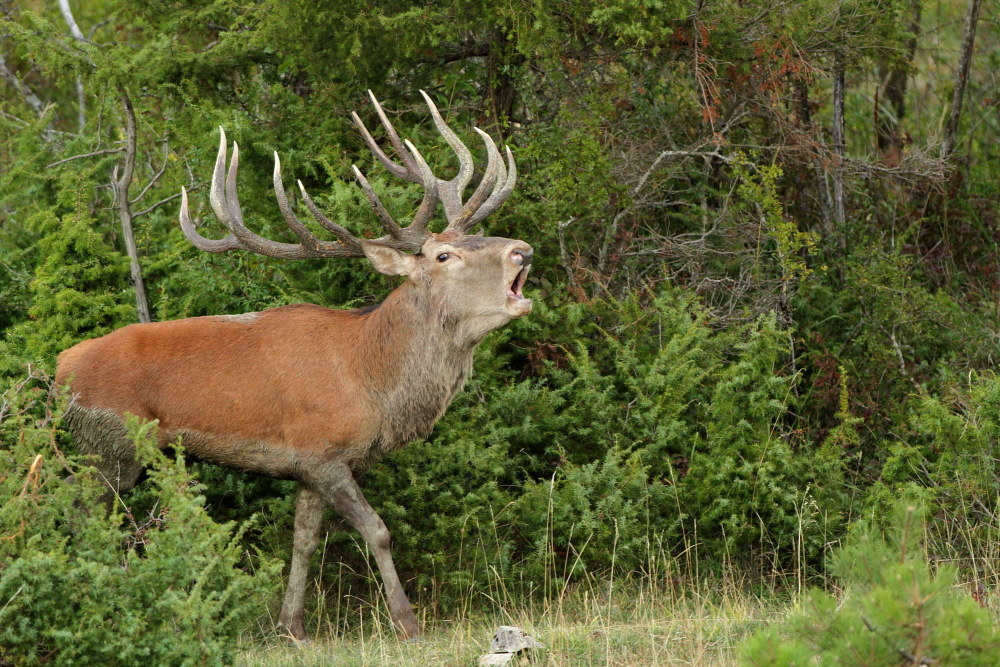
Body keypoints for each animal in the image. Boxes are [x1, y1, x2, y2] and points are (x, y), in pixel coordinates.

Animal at [54, 90, 533, 641]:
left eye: (483, 236)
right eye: (443, 256)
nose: (523, 251)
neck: (371, 380)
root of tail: (58, 369)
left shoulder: (306, 465)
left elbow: (303, 539)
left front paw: (293, 627)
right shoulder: (323, 450)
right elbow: (378, 530)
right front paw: (407, 622)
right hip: (111, 443)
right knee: (80, 509)